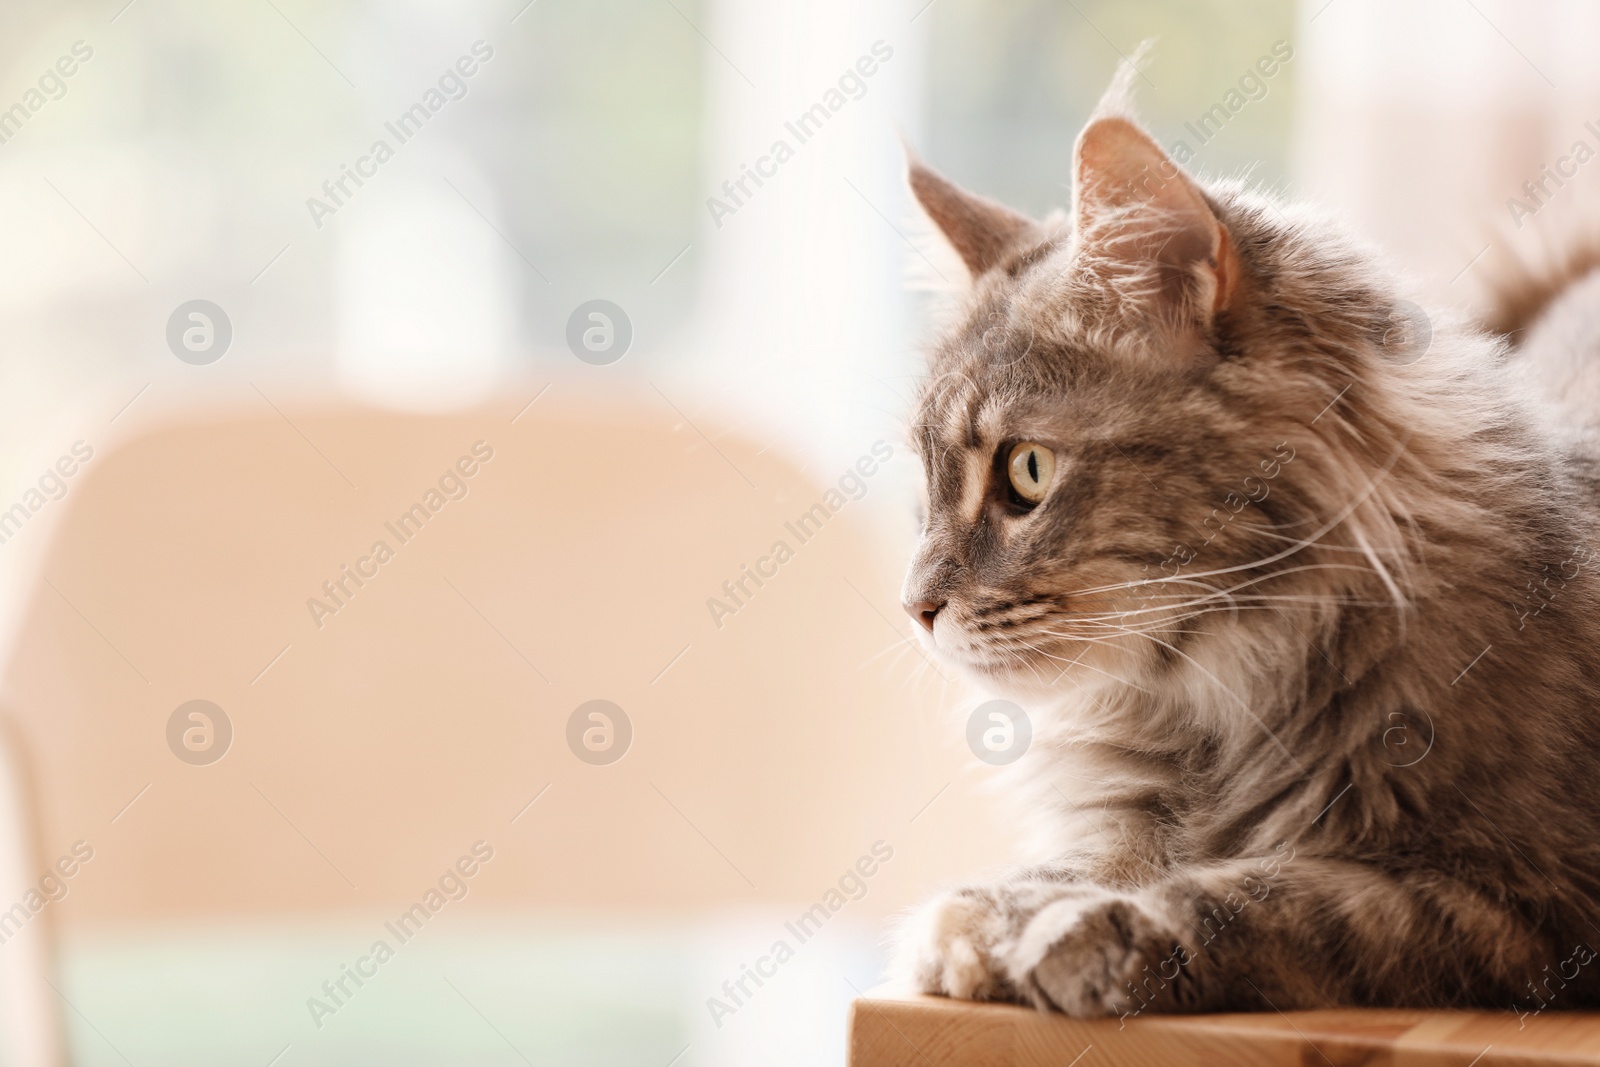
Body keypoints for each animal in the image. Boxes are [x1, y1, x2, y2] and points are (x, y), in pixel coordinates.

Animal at [889, 66, 1600, 1017]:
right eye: (924, 482)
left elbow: (1272, 894)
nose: (915, 607)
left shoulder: (1536, 899)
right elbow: (1102, 858)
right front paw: (991, 915)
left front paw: (1077, 932)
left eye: (1027, 471)